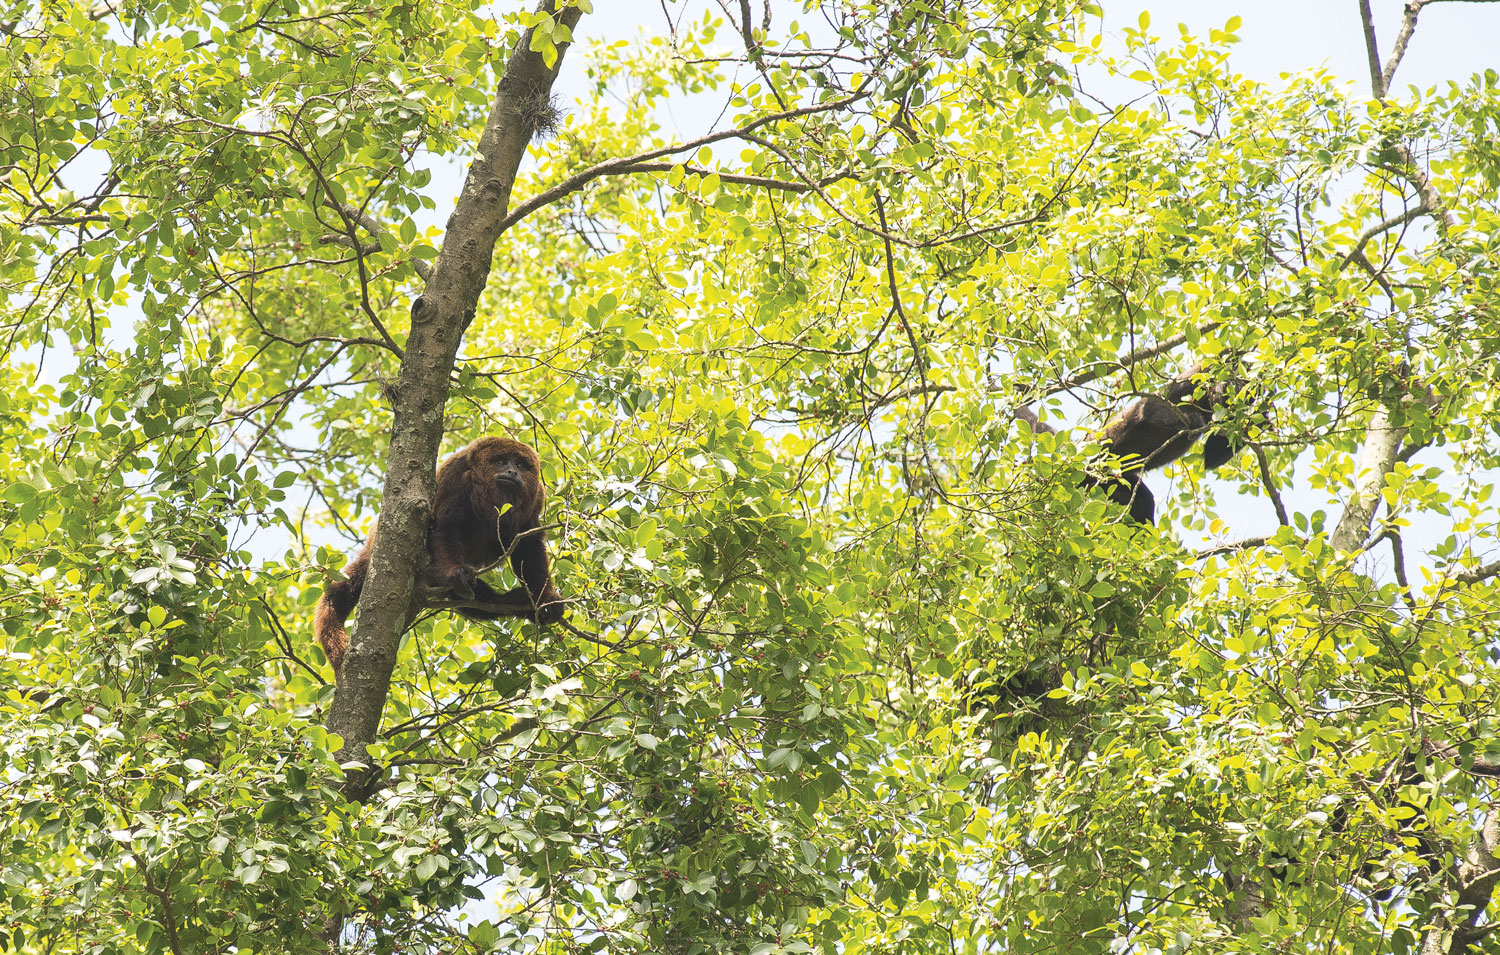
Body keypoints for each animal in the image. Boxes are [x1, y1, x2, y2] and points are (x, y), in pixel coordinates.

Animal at [316, 434, 567, 674]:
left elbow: (529, 545)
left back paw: (512, 601)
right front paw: (455, 574)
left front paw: (543, 599)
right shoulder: (456, 477)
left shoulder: (536, 497)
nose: (512, 471)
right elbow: (447, 528)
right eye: (500, 461)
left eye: (521, 465)